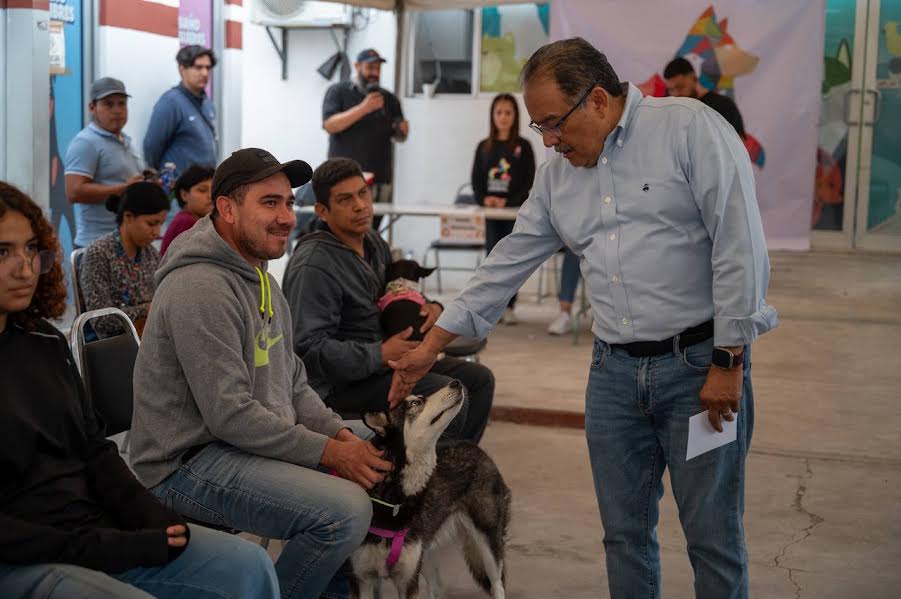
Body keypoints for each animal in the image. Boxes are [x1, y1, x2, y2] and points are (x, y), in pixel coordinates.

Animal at [350, 382, 510, 599]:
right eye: (414, 403)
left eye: (417, 398)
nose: (456, 382)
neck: (394, 500)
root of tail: (475, 447)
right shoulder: (363, 579)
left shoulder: (408, 581)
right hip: (426, 555)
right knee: (437, 587)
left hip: (487, 540)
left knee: (497, 584)